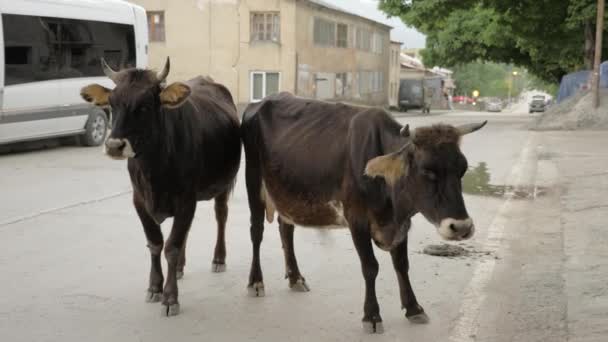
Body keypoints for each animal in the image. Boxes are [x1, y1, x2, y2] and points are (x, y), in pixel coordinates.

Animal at [79, 58, 241, 316]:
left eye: (145, 106)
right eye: (112, 103)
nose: (114, 146)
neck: (154, 168)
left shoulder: (186, 200)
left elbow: (172, 247)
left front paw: (170, 297)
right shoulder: (139, 200)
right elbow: (156, 243)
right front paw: (155, 287)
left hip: (223, 186)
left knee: (221, 216)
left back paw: (218, 259)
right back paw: (180, 268)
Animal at [240, 92, 486, 332]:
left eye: (462, 169)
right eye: (428, 171)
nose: (461, 227)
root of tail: (259, 103)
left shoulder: (401, 223)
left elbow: (402, 264)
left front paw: (414, 308)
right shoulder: (356, 218)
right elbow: (370, 267)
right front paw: (372, 315)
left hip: (287, 193)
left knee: (286, 229)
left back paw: (296, 278)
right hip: (253, 179)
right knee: (256, 232)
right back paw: (255, 282)